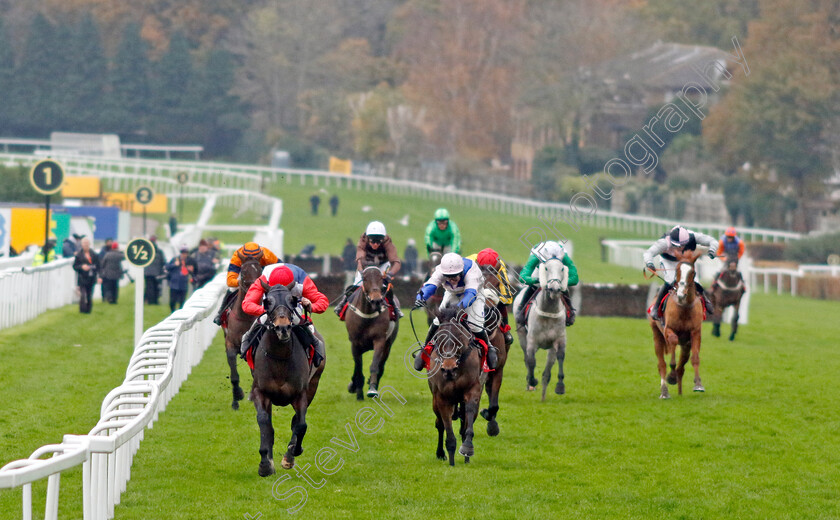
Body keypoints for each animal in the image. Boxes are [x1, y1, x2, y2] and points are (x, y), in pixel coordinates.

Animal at [251, 280, 324, 476]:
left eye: (292, 300)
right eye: (267, 302)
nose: (282, 328)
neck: (280, 357)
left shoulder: (301, 393)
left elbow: (301, 424)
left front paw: (291, 454)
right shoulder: (260, 391)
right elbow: (264, 422)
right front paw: (265, 464)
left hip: (314, 384)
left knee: (297, 422)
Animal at [348, 266, 400, 400]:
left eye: (381, 278)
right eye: (365, 278)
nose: (376, 300)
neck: (367, 316)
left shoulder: (380, 340)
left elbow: (375, 365)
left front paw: (372, 388)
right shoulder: (355, 343)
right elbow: (358, 367)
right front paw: (358, 391)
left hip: (388, 345)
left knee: (381, 366)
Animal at [648, 248, 708, 398]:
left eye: (692, 272)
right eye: (677, 271)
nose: (681, 294)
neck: (684, 307)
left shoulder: (695, 332)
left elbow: (695, 358)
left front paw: (698, 384)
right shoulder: (668, 329)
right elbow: (673, 344)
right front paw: (671, 375)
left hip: (686, 344)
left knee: (682, 366)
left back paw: (680, 391)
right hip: (657, 335)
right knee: (661, 364)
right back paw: (664, 391)